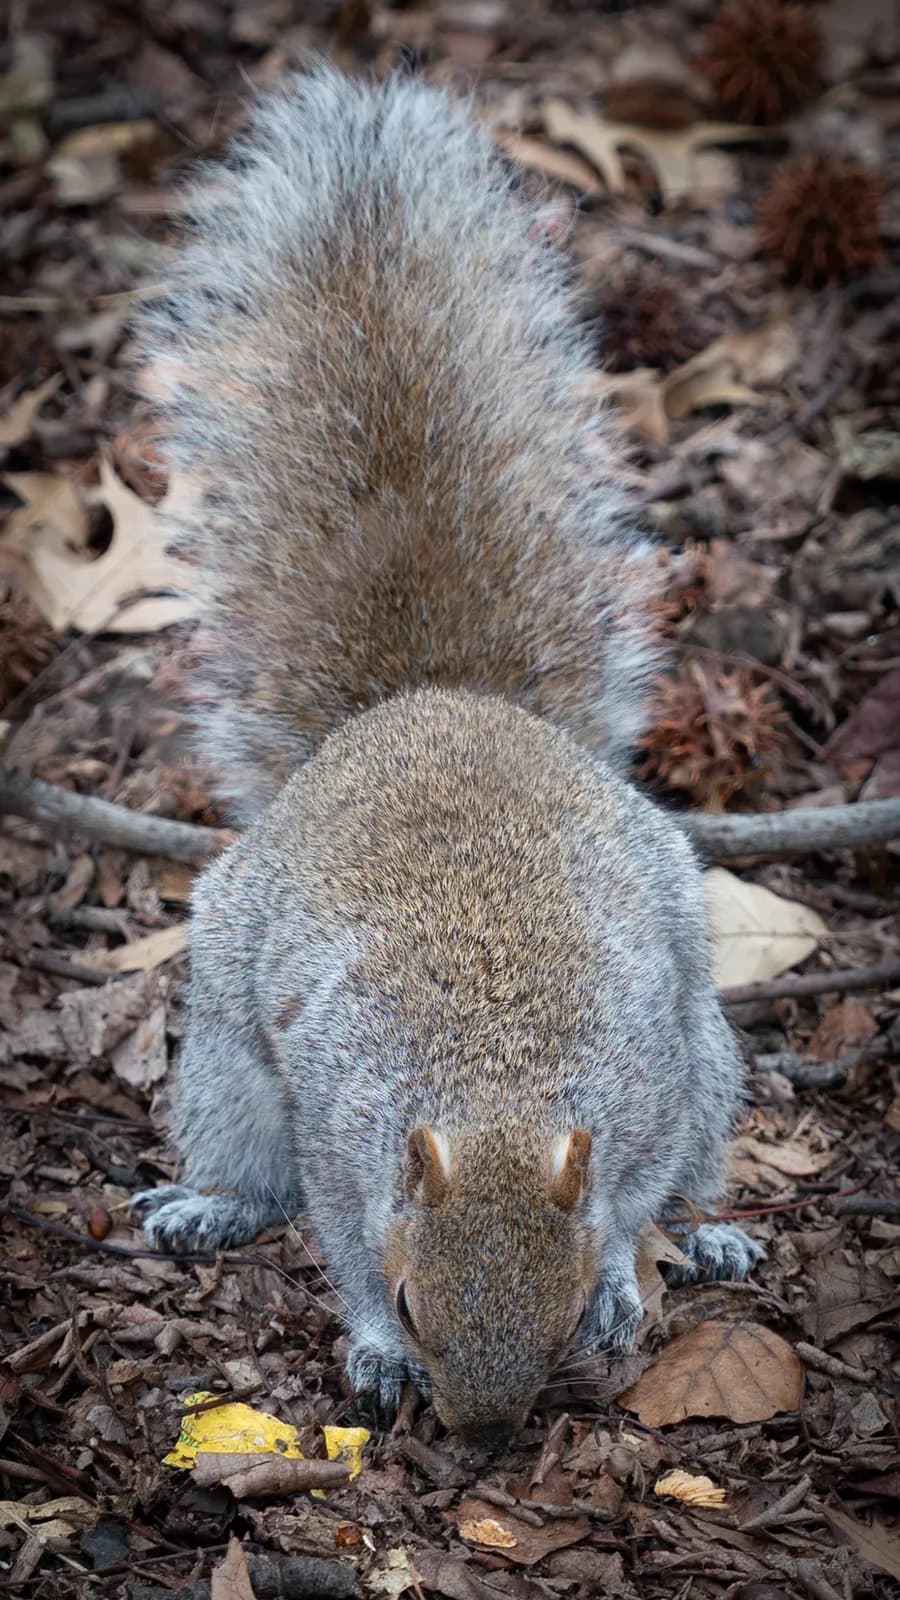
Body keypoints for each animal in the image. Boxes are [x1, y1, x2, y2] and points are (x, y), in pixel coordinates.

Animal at [132, 66, 763, 1439]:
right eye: (423, 1306)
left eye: (560, 1312)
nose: (480, 1434)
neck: (495, 1088)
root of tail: (431, 702)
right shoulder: (337, 1126)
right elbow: (339, 1232)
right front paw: (372, 1345)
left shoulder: (644, 1089)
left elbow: (629, 1197)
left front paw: (624, 1278)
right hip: (230, 1059)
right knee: (253, 1163)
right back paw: (214, 1203)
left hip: (704, 1049)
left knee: (693, 1164)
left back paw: (710, 1233)